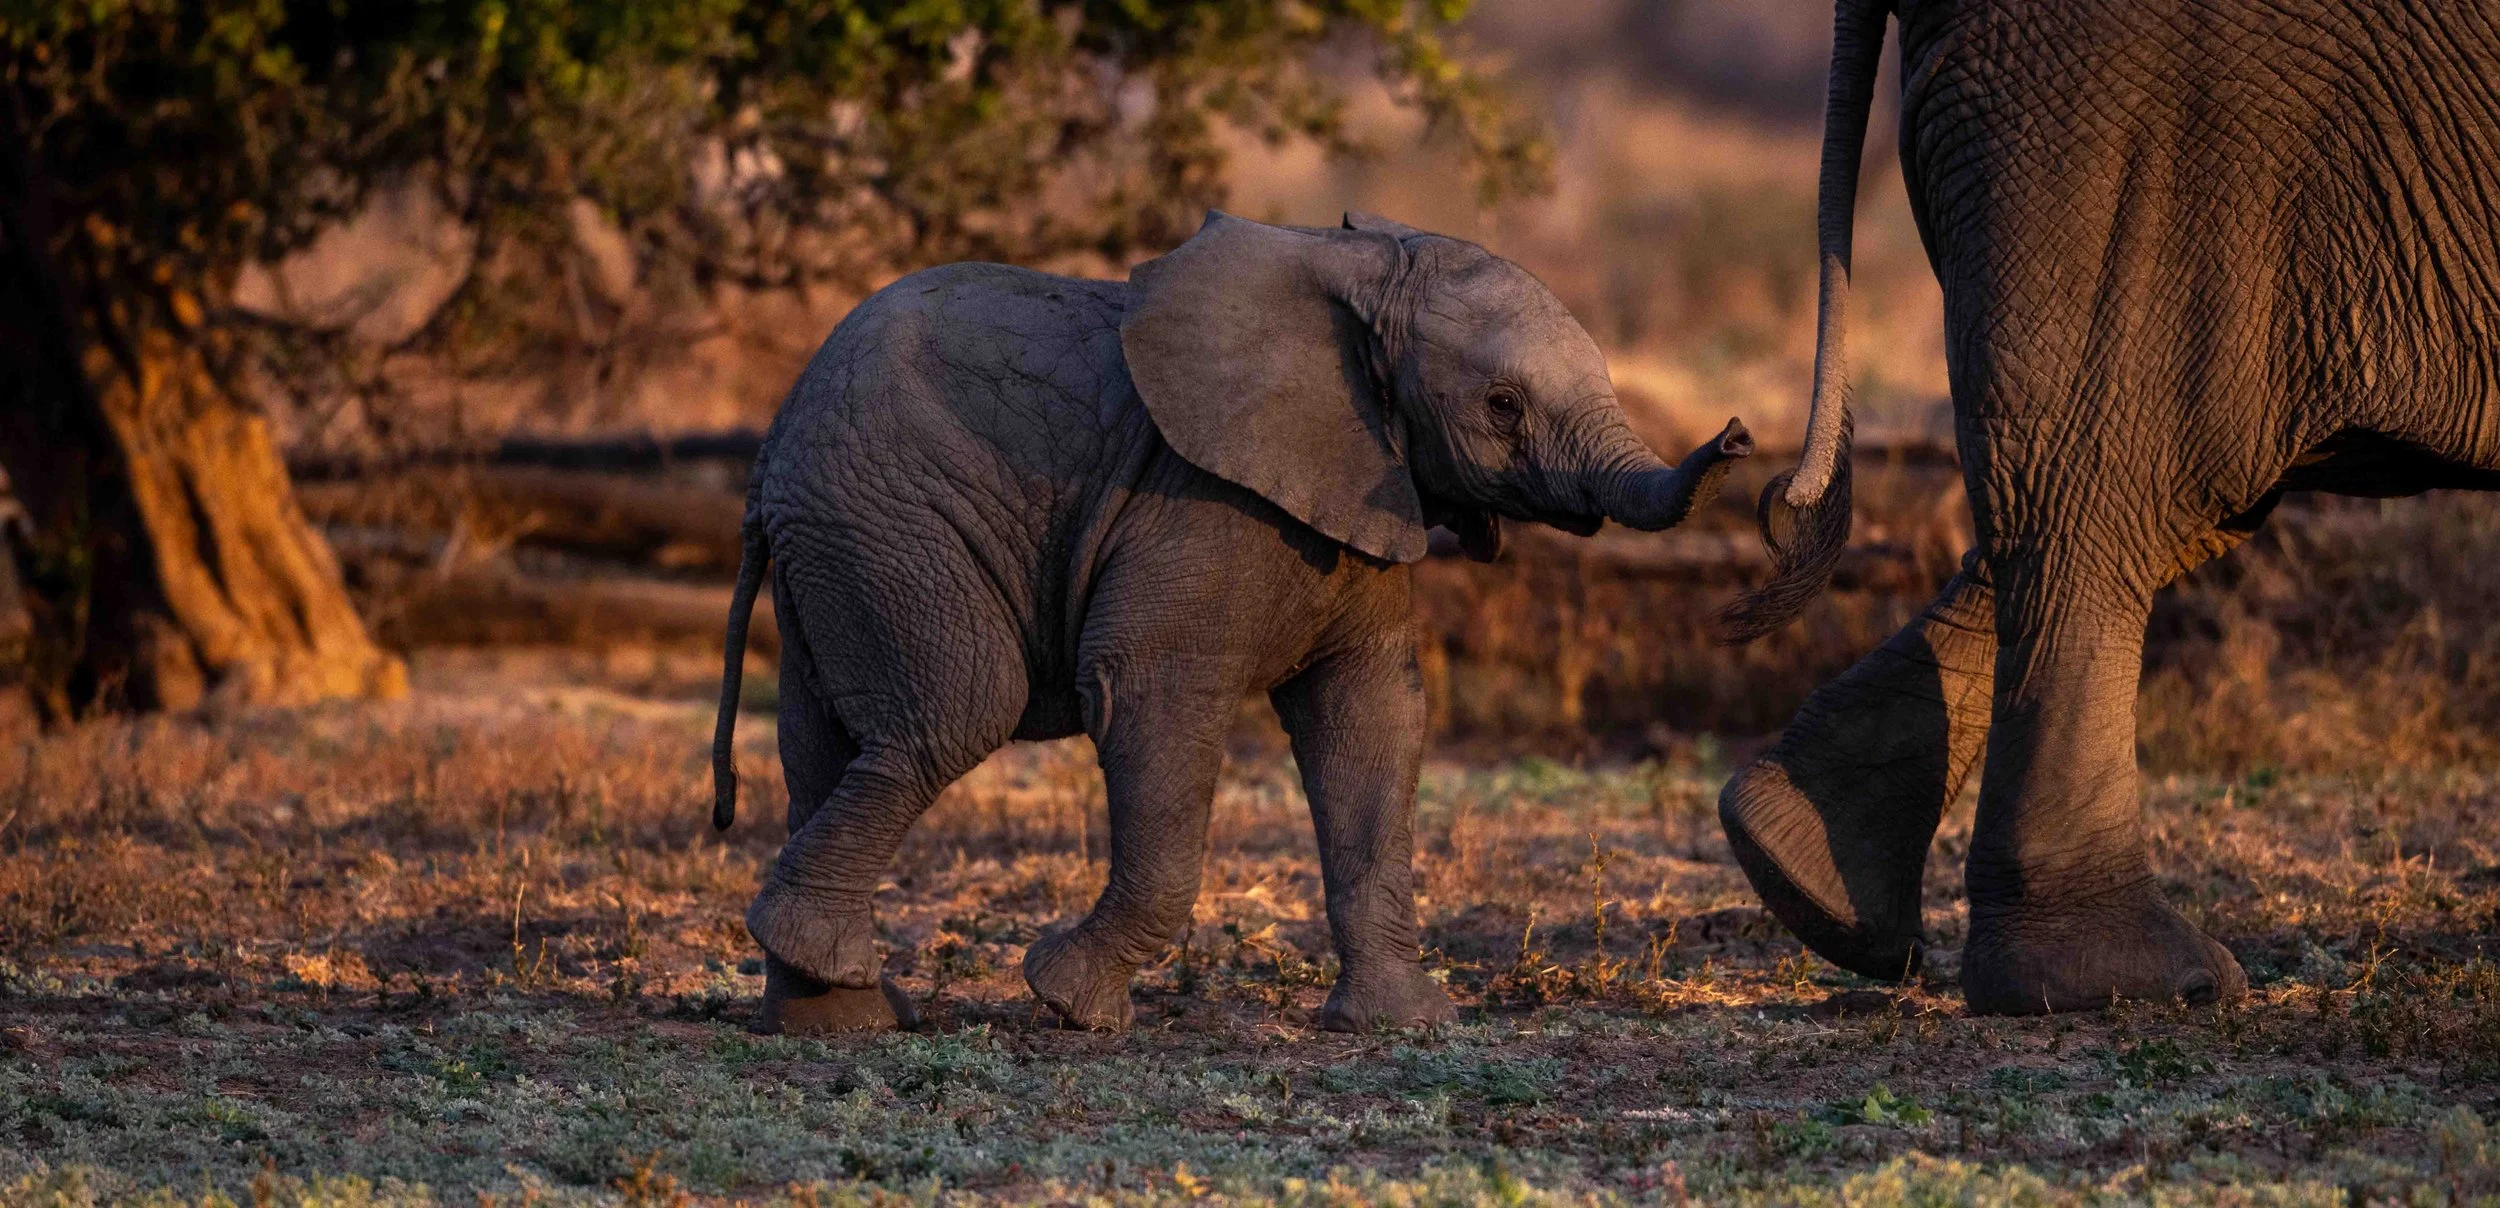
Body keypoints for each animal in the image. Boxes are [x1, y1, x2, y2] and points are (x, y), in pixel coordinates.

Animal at [708, 210, 1754, 1034]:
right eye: (1502, 405)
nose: (1740, 435)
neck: (1358, 268)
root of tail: (767, 463)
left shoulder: (1363, 494)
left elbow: (1373, 722)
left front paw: (1403, 1025)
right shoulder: (1202, 502)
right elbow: (1152, 694)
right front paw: (1072, 1006)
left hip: (840, 547)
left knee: (822, 745)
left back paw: (835, 1019)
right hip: (889, 522)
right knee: (960, 706)